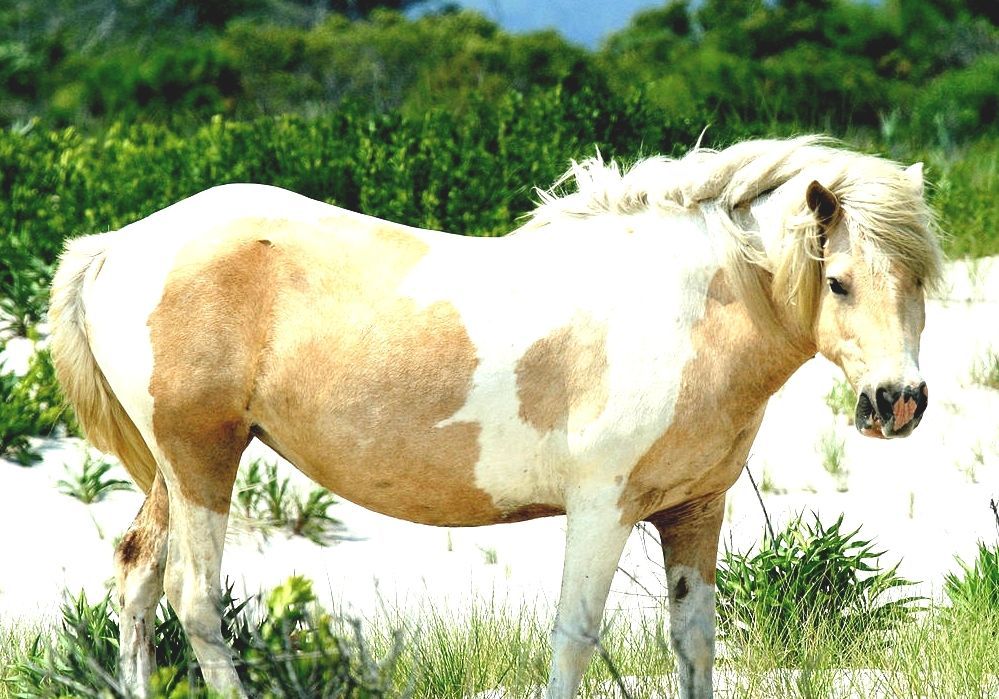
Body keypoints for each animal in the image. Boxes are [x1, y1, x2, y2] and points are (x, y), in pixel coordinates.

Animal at [48, 135, 942, 698]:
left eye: (915, 281)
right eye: (838, 283)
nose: (896, 401)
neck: (682, 307)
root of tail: (117, 244)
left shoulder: (694, 510)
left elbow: (693, 642)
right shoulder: (602, 510)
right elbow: (574, 636)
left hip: (174, 470)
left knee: (136, 577)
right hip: (202, 459)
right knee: (195, 601)